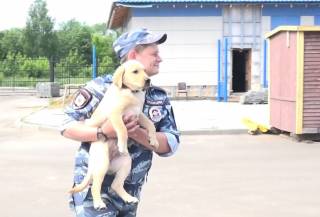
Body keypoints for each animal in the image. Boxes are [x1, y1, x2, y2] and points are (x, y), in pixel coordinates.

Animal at [70, 60, 160, 209]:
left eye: (145, 71)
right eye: (135, 72)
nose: (148, 80)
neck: (131, 92)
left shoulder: (138, 114)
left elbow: (150, 124)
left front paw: (154, 140)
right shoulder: (115, 114)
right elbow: (122, 129)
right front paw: (122, 145)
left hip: (126, 163)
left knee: (115, 185)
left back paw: (129, 198)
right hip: (102, 163)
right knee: (95, 186)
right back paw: (99, 203)